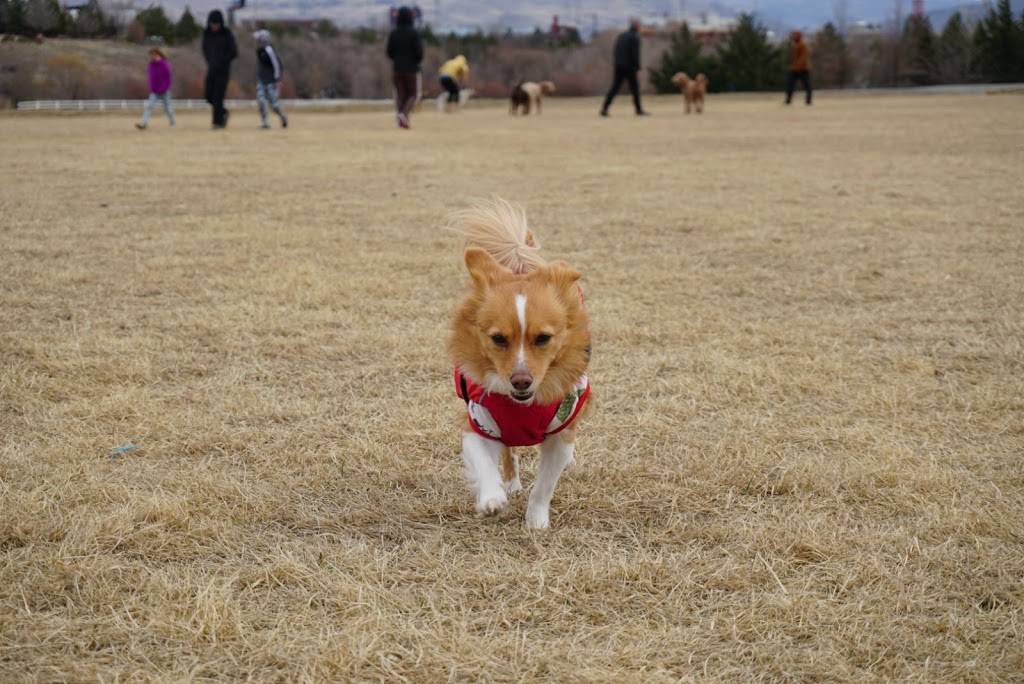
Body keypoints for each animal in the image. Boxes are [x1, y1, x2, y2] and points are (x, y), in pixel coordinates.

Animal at [448, 197, 593, 528]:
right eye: (498, 338)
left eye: (543, 338)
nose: (521, 380)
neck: (523, 406)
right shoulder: (478, 422)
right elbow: (484, 461)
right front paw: (492, 498)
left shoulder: (559, 435)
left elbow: (544, 486)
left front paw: (536, 522)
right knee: (509, 453)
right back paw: (511, 484)